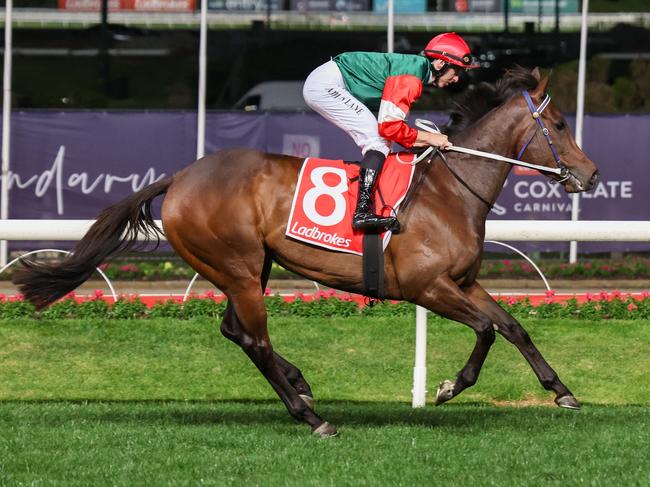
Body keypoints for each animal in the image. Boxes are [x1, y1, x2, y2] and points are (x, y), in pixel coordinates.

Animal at [13, 67, 596, 438]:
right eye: (560, 125)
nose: (590, 175)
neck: (451, 191)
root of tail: (179, 177)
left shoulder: (464, 281)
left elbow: (513, 326)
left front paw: (562, 391)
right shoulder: (427, 287)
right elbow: (486, 330)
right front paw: (451, 386)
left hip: (249, 268)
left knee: (235, 331)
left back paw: (301, 384)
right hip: (238, 267)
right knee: (255, 338)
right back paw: (311, 417)